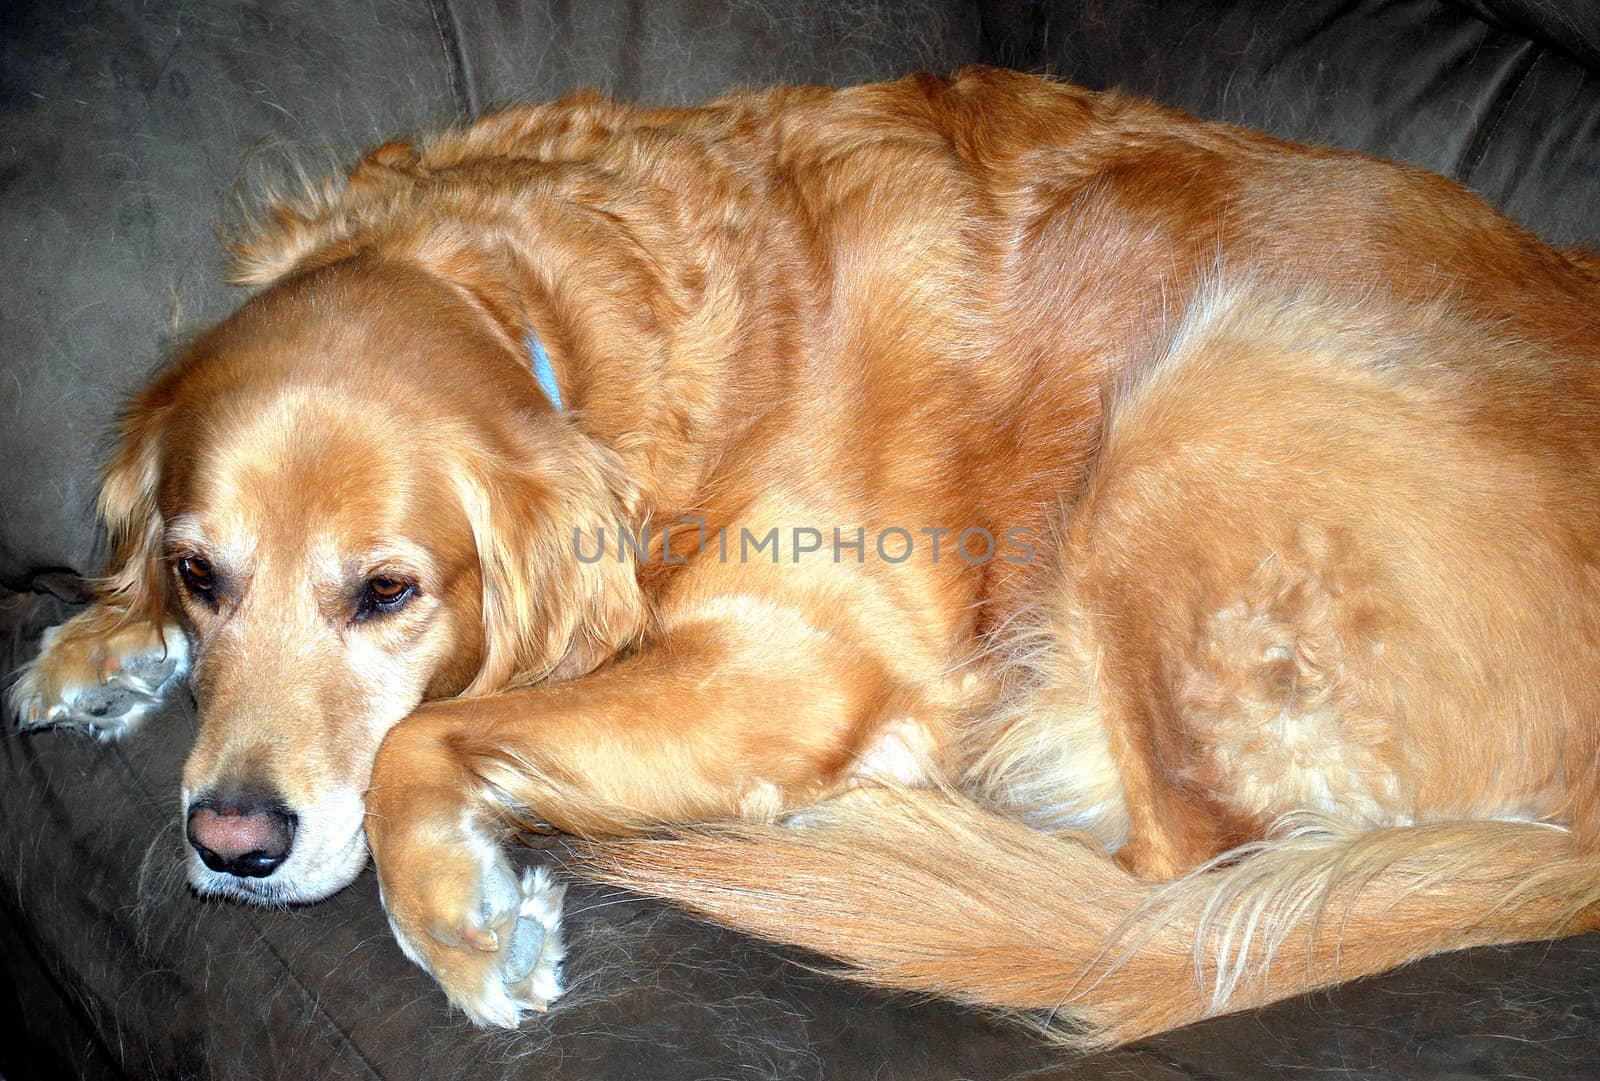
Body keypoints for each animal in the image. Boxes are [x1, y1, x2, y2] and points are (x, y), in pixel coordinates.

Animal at [9, 69, 1600, 1049]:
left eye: (389, 592)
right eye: (202, 574)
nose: (230, 847)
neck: (548, 313)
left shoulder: (799, 652)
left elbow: (424, 735)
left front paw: (462, 919)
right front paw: (96, 645)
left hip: (1214, 394)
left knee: (1172, 869)